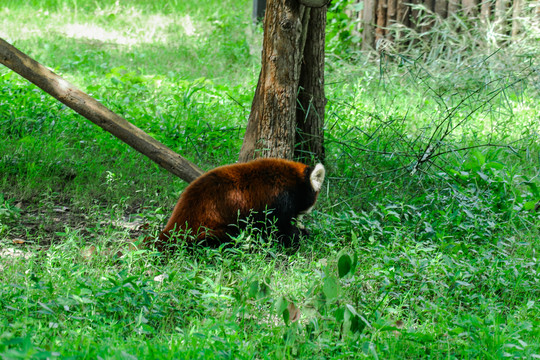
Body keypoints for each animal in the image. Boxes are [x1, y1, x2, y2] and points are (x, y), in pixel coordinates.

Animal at [148, 159, 324, 252]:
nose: (302, 219)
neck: (292, 179)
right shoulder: (277, 200)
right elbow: (278, 228)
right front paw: (298, 236)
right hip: (209, 225)